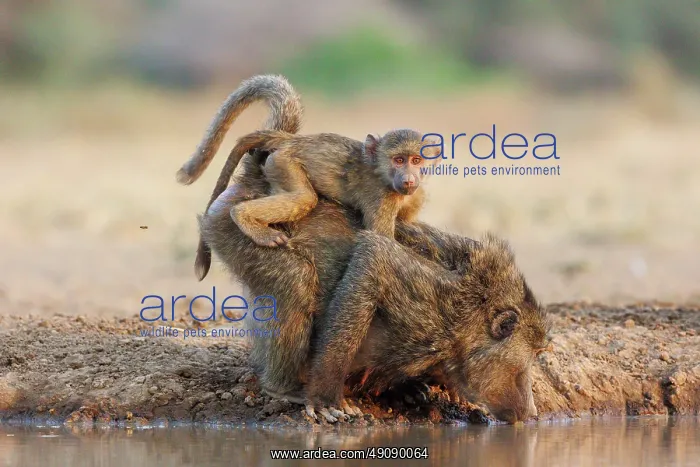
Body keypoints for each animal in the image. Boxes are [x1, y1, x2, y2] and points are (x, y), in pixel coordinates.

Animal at [198, 161, 552, 424]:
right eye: (534, 354)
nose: (532, 412)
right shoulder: (434, 307)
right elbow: (374, 256)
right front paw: (326, 398)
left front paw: (412, 389)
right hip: (236, 231)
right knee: (296, 280)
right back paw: (283, 387)